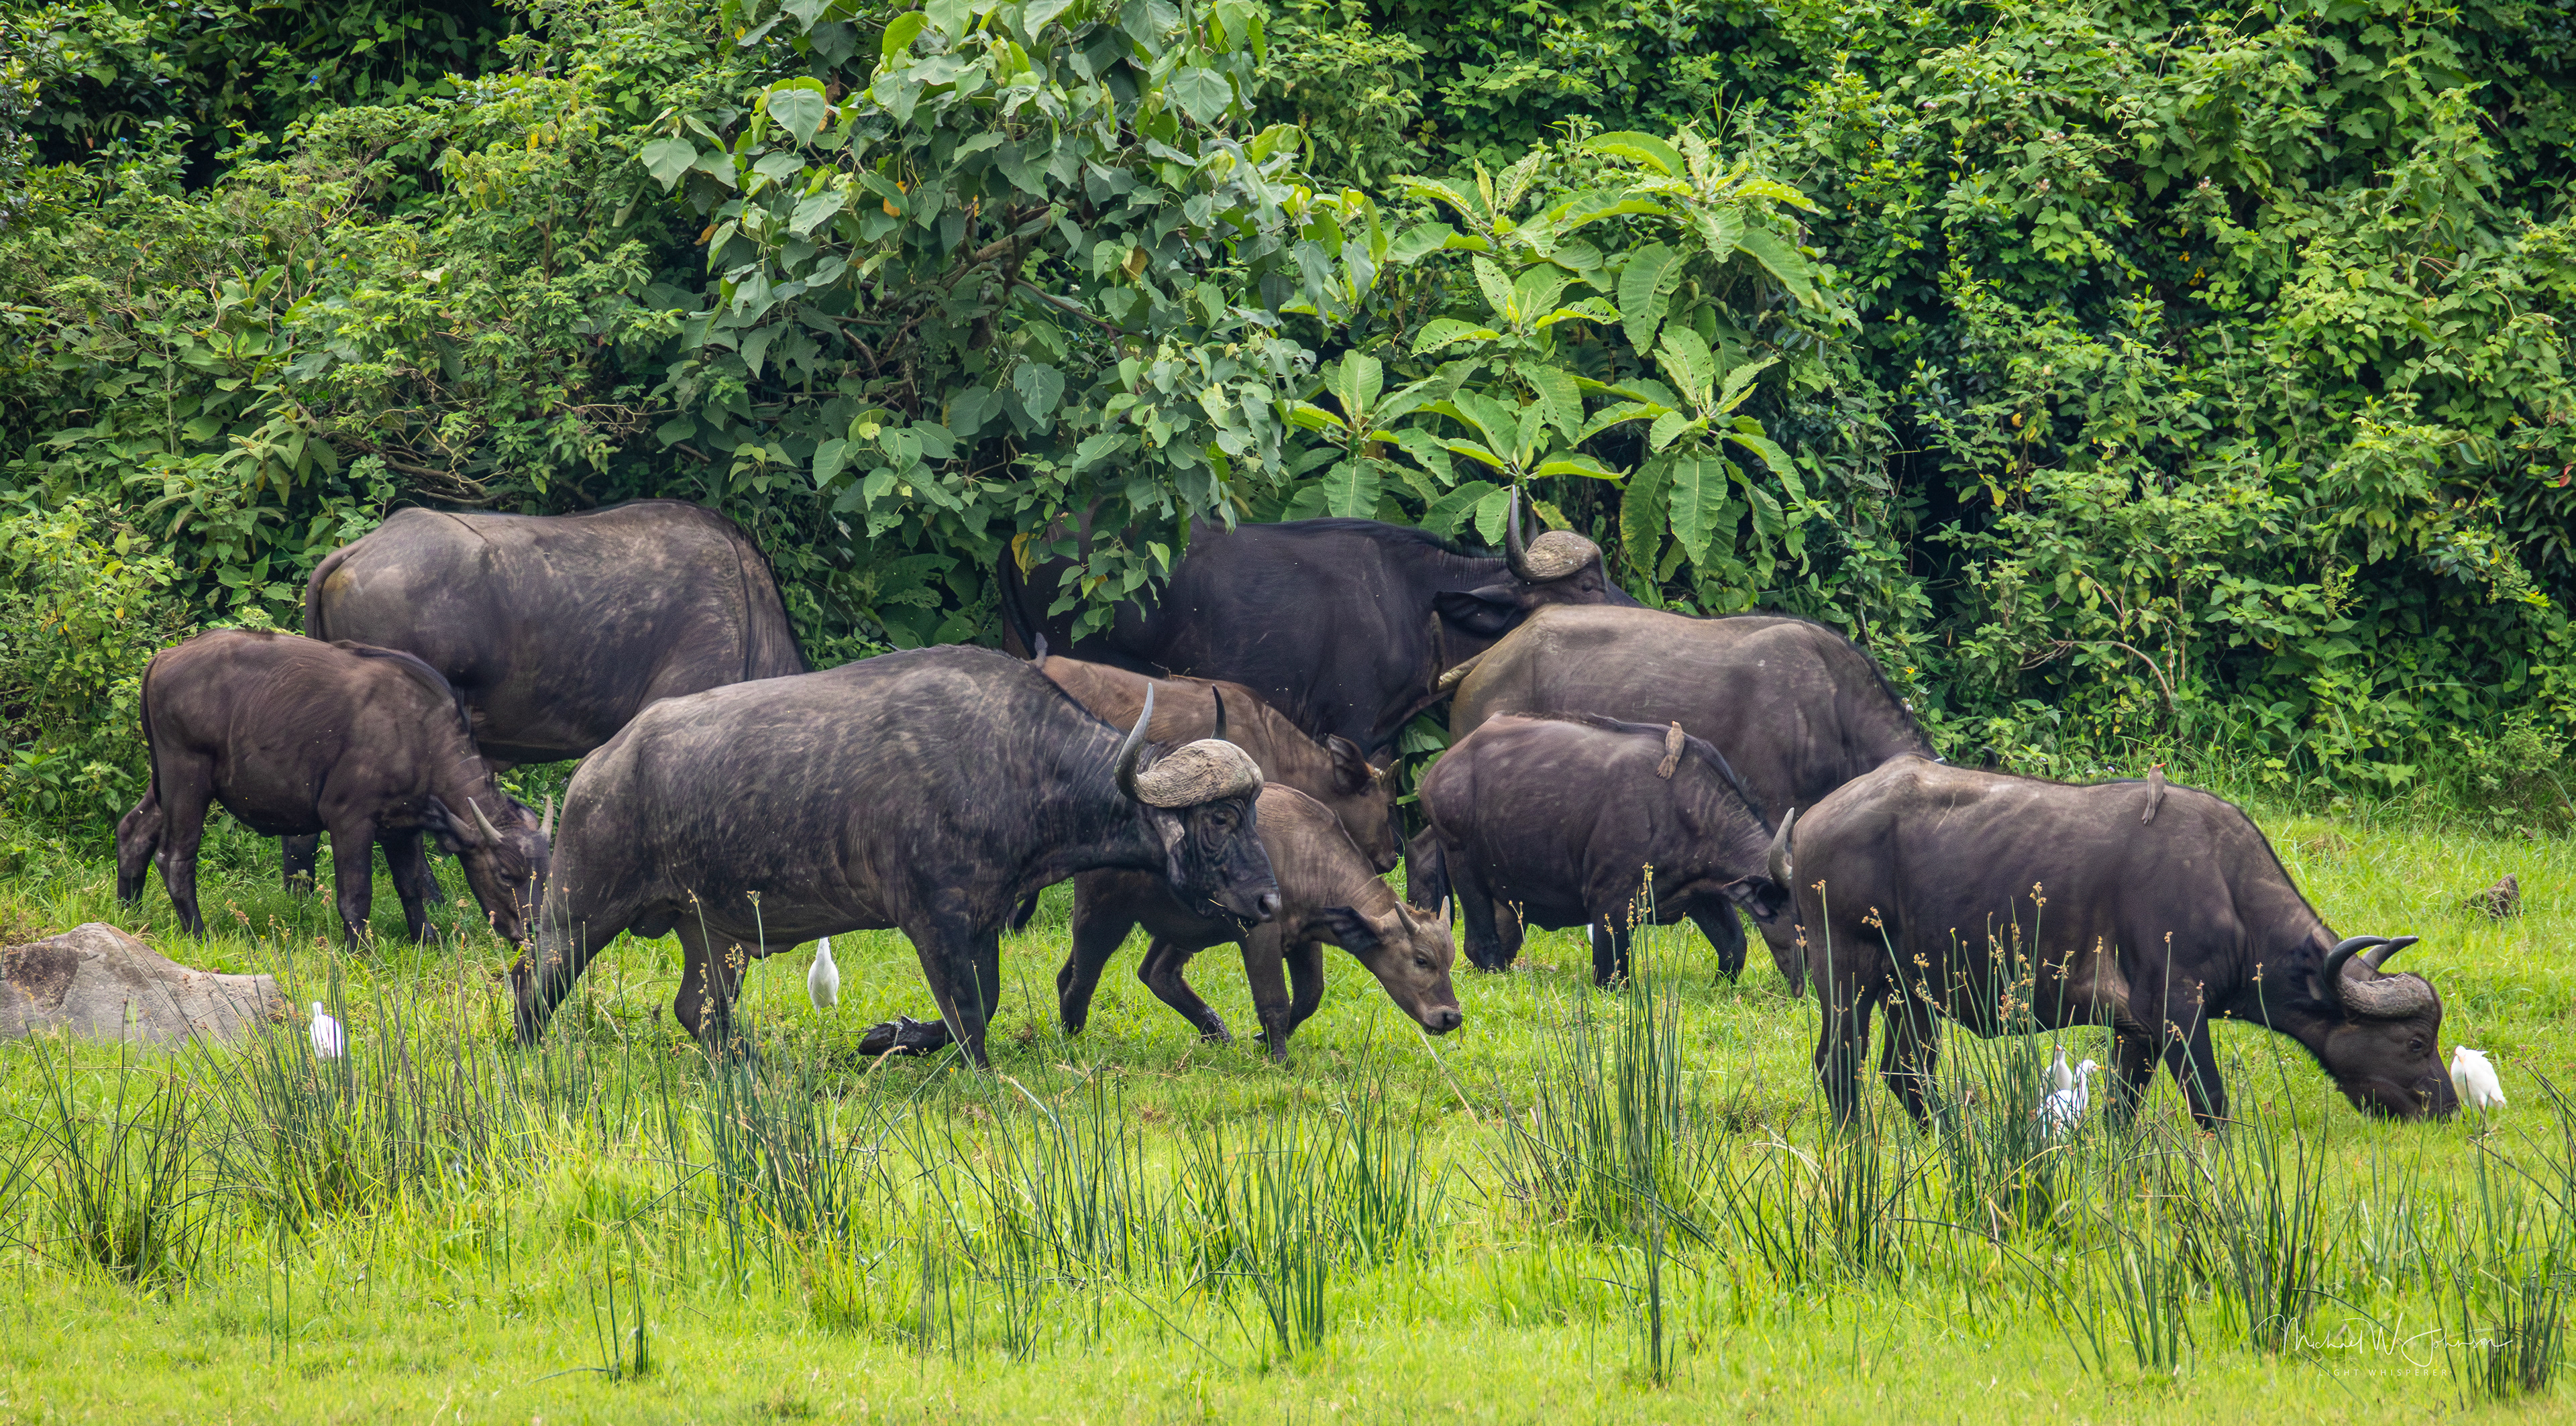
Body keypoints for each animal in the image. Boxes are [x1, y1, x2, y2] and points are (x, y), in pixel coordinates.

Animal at [114, 630, 551, 947]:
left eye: (544, 876)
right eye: (506, 875)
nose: (532, 933)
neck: (417, 734)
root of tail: (164, 658)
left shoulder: (404, 827)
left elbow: (411, 886)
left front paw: (426, 941)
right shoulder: (349, 820)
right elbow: (356, 895)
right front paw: (359, 951)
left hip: (164, 783)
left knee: (132, 832)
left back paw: (126, 915)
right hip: (188, 777)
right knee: (175, 857)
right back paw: (198, 933)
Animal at [509, 646, 1280, 1062]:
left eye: (1251, 812)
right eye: (1220, 815)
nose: (1270, 899)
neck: (1012, 761)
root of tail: (599, 766)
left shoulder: (981, 919)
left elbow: (982, 1003)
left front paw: (890, 1037)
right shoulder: (931, 920)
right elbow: (970, 1017)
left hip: (713, 934)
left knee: (699, 1009)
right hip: (577, 915)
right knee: (532, 986)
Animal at [1055, 785, 1461, 1060]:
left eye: (1450, 960)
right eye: (1422, 960)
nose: (1451, 1017)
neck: (1307, 854)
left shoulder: (1304, 939)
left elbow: (1310, 997)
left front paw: (1263, 1041)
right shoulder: (1260, 935)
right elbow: (1275, 1001)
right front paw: (1279, 1059)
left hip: (1186, 928)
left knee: (1153, 973)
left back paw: (1217, 1035)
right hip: (1101, 913)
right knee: (1082, 976)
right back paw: (1072, 1033)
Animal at [1418, 713, 1789, 985]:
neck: (1685, 807)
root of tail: (1441, 769)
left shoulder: (1701, 896)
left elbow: (1735, 948)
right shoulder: (1610, 905)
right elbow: (1611, 976)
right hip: (1464, 870)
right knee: (1480, 945)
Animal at [1779, 757, 2457, 1127]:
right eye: (2415, 1041)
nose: (2447, 1108)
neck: (2227, 891)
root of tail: (1810, 826)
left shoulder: (2135, 1030)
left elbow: (2120, 1108)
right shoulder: (2178, 1011)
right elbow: (2210, 1100)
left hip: (1911, 989)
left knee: (1908, 1070)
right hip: (1846, 971)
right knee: (1839, 1063)